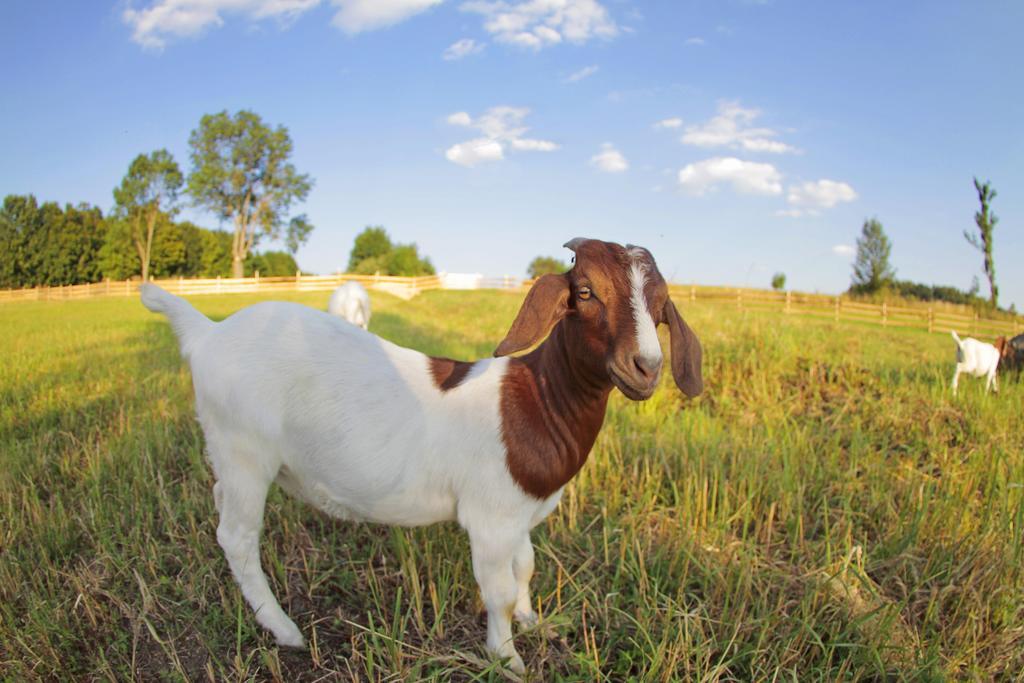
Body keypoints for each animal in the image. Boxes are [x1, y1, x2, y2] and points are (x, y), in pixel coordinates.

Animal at [138, 239, 704, 671]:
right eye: (584, 292)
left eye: (661, 305)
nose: (645, 366)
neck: (534, 400)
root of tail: (206, 332)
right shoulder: (490, 517)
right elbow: (497, 590)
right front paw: (508, 658)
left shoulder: (518, 513)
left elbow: (525, 567)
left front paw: (531, 620)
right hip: (245, 450)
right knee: (236, 537)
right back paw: (285, 630)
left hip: (227, 452)